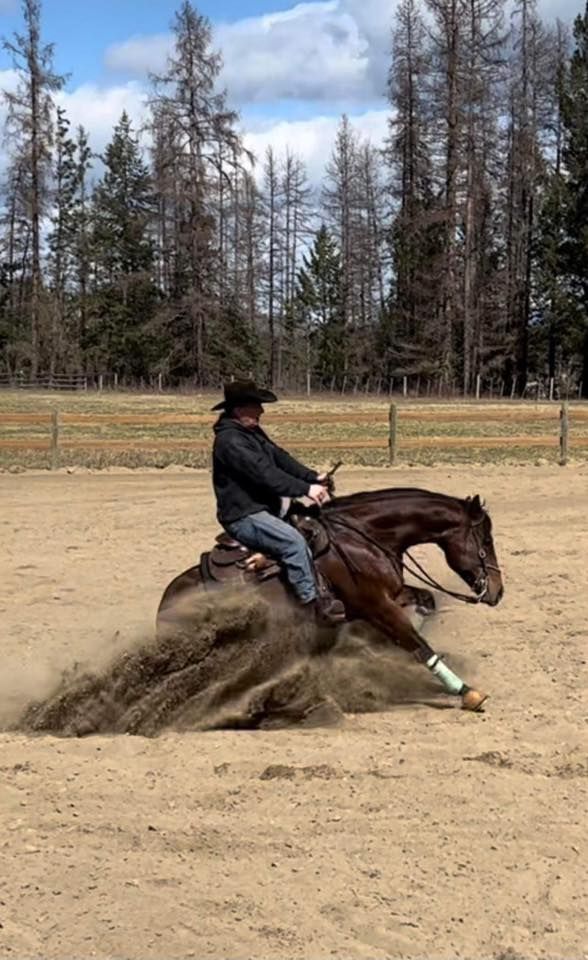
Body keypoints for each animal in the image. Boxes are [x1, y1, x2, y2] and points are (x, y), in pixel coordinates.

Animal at [158, 492, 504, 708]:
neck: (363, 538)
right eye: (485, 540)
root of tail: (166, 603)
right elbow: (416, 643)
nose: (497, 591)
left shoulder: (391, 594)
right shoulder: (375, 605)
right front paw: (467, 692)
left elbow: (426, 602)